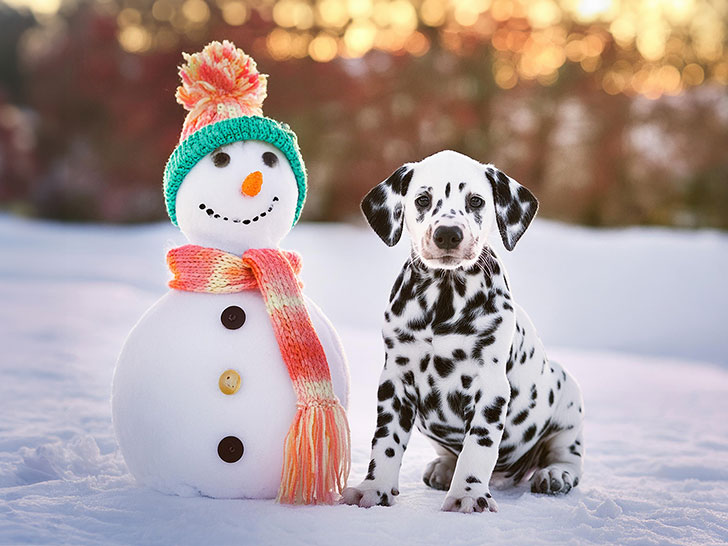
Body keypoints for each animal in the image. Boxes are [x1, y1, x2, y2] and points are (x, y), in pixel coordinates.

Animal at [342, 151, 584, 512]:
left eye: (476, 201)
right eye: (423, 200)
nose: (448, 234)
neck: (444, 297)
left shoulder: (490, 387)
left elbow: (477, 447)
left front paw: (468, 496)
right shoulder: (395, 381)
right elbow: (386, 441)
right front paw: (374, 489)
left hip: (568, 401)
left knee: (567, 456)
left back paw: (555, 474)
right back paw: (443, 468)